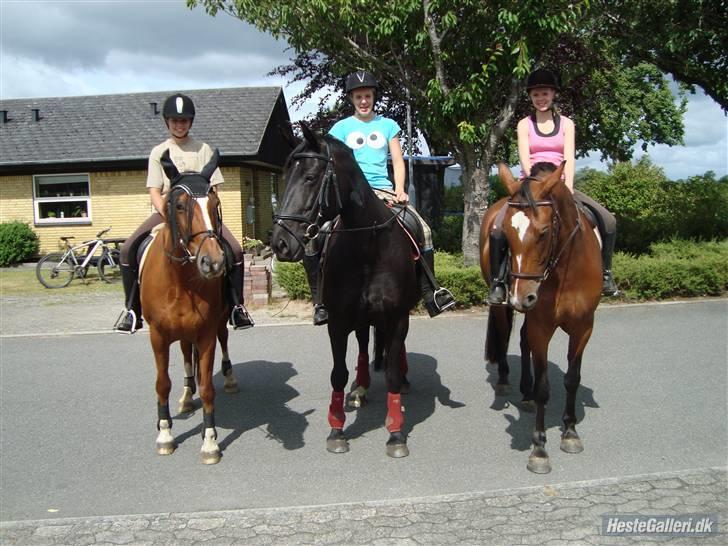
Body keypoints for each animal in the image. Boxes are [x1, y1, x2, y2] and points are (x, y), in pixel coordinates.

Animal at [139, 149, 236, 464]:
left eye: (215, 204)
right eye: (180, 205)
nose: (213, 262)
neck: (181, 281)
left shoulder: (205, 334)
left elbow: (207, 388)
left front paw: (210, 442)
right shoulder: (157, 335)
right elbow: (162, 384)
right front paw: (165, 435)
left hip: (219, 323)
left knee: (224, 340)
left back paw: (229, 379)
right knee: (183, 355)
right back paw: (185, 396)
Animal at [270, 122, 418, 454]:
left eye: (310, 178)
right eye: (284, 178)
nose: (280, 243)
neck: (367, 247)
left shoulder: (397, 317)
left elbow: (391, 373)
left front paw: (396, 433)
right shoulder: (337, 322)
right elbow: (338, 375)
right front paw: (336, 430)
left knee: (394, 349)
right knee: (363, 345)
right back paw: (360, 388)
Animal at [478, 162, 604, 472]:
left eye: (544, 233)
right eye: (507, 236)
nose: (521, 297)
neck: (565, 271)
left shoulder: (584, 327)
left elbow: (572, 378)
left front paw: (570, 432)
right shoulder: (541, 326)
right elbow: (544, 387)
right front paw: (539, 448)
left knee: (523, 341)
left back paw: (525, 393)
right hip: (503, 307)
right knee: (505, 335)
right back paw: (506, 381)